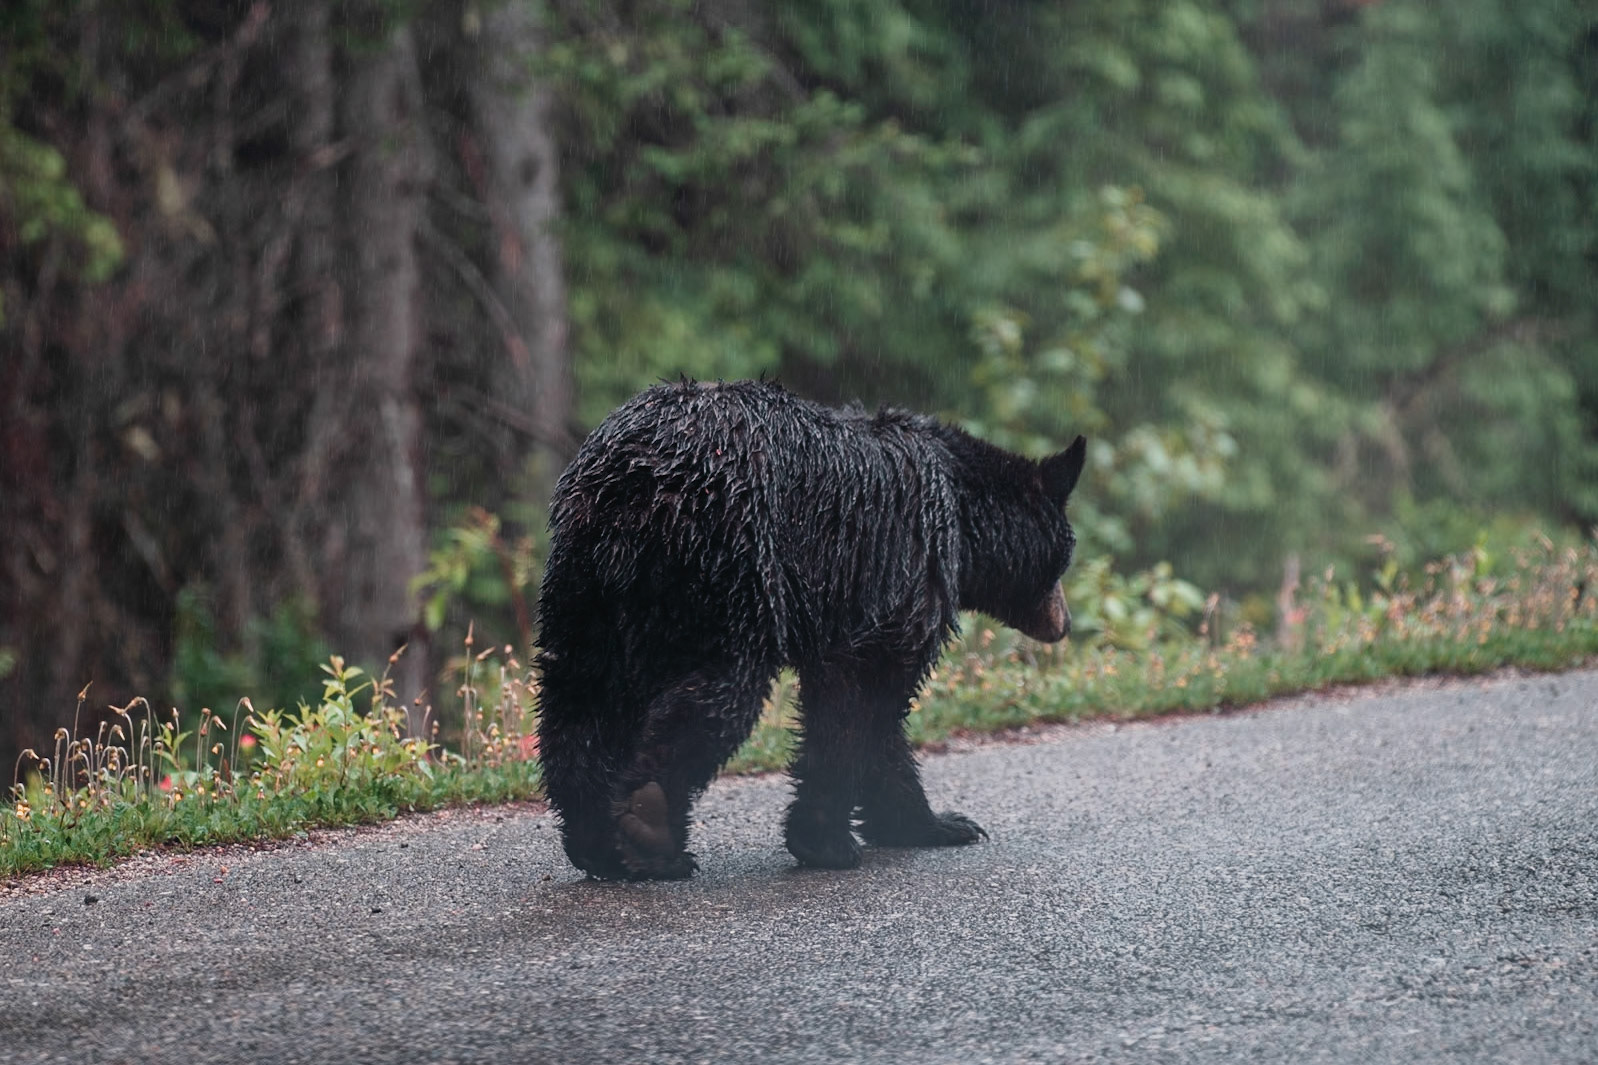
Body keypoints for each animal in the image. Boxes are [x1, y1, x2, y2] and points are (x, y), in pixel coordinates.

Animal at [535, 379, 1085, 880]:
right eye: (1065, 557)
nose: (1064, 623)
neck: (960, 505)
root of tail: (633, 481)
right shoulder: (902, 574)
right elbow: (863, 698)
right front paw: (829, 841)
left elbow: (870, 714)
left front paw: (934, 824)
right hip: (729, 566)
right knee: (721, 691)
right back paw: (651, 834)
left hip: (588, 586)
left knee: (578, 701)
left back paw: (597, 843)